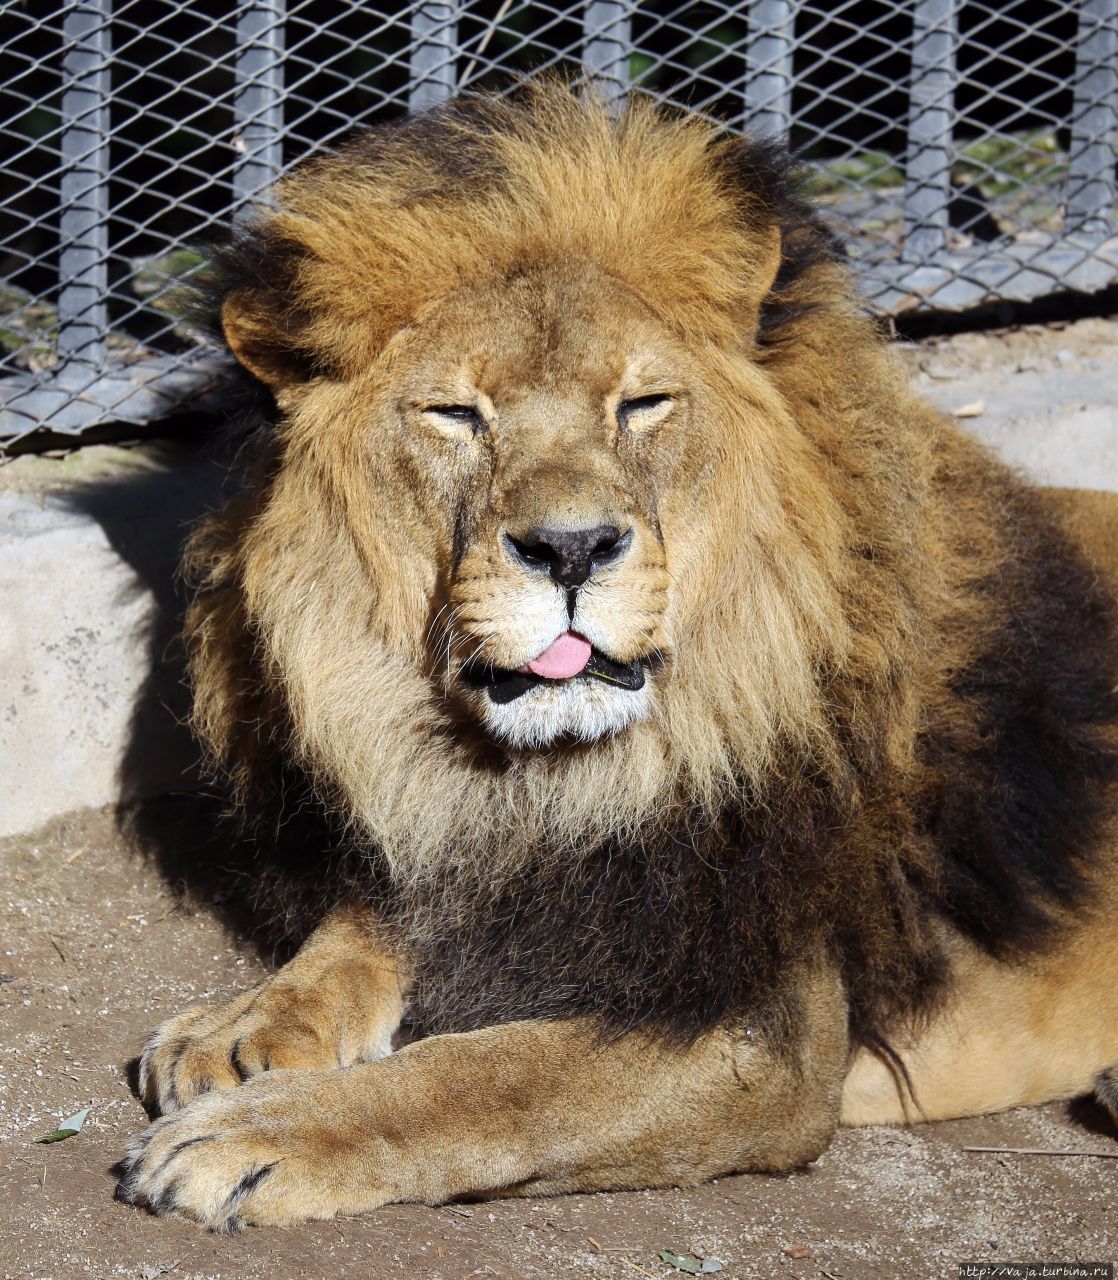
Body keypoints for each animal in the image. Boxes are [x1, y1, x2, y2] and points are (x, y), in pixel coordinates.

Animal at [113, 82, 1116, 1228]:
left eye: (642, 403)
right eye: (455, 414)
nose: (571, 548)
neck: (562, 778)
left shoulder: (761, 1031)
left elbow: (488, 1075)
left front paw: (260, 1131)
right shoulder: (467, 849)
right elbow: (361, 930)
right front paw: (247, 1023)